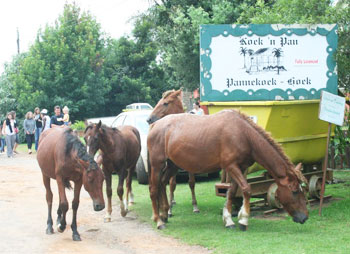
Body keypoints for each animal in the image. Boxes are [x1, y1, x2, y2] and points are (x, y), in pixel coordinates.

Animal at [146, 109, 308, 230]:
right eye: (294, 191)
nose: (305, 217)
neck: (244, 134)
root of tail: (155, 125)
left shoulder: (239, 168)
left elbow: (231, 192)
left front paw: (228, 219)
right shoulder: (232, 166)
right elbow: (246, 189)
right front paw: (243, 220)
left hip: (172, 165)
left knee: (162, 184)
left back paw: (164, 214)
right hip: (157, 164)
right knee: (153, 189)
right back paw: (158, 220)